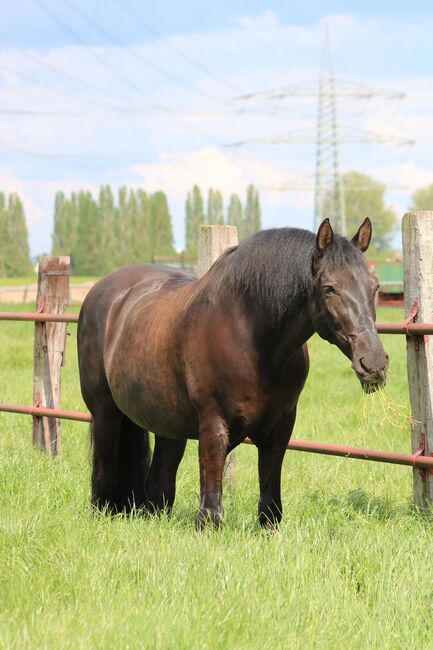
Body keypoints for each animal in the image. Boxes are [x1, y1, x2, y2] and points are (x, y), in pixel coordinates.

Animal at [77, 218, 388, 528]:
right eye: (329, 288)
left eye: (375, 286)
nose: (374, 364)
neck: (251, 337)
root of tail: (103, 290)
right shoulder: (214, 423)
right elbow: (211, 503)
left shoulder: (281, 427)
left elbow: (270, 498)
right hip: (106, 414)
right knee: (106, 473)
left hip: (168, 424)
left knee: (159, 484)